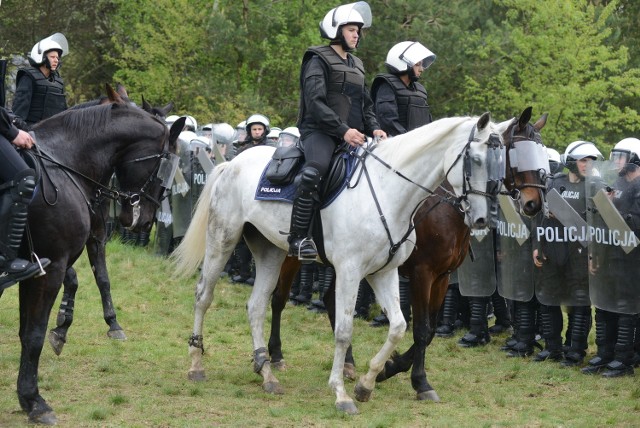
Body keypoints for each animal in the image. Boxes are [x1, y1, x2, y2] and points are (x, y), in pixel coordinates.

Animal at [48, 84, 175, 354]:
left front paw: (113, 323)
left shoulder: (96, 236)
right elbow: (72, 278)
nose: (146, 221)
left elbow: (103, 278)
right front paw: (63, 319)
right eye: (164, 161)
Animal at [172, 112, 508, 412]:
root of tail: (232, 163)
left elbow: (399, 326)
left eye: (500, 162)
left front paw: (368, 383)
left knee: (257, 305)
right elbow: (346, 329)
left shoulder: (387, 273)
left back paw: (266, 371)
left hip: (270, 251)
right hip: (224, 240)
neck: (389, 191)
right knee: (205, 296)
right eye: (475, 160)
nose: (483, 218)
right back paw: (198, 364)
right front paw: (342, 393)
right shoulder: (359, 271)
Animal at [268, 106, 548, 402]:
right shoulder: (421, 274)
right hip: (291, 254)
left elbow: (430, 329)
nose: (534, 203)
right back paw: (276, 355)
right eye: (515, 152)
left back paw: (348, 364)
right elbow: (422, 328)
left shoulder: (442, 277)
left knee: (330, 301)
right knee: (279, 299)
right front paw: (415, 379)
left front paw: (388, 369)